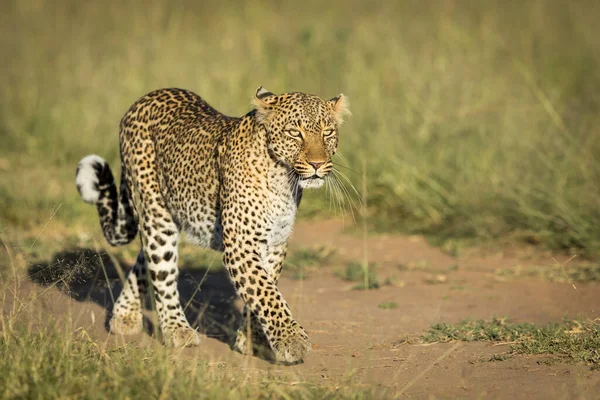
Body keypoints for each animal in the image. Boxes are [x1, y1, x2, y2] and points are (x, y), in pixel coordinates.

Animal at [75, 86, 350, 364]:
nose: (317, 164)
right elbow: (266, 293)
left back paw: (124, 316)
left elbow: (265, 287)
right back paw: (177, 330)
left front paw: (251, 340)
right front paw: (291, 340)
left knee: (145, 260)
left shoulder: (275, 243)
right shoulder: (240, 244)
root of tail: (144, 99)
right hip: (156, 213)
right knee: (161, 270)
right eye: (295, 132)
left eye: (327, 133)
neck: (282, 178)